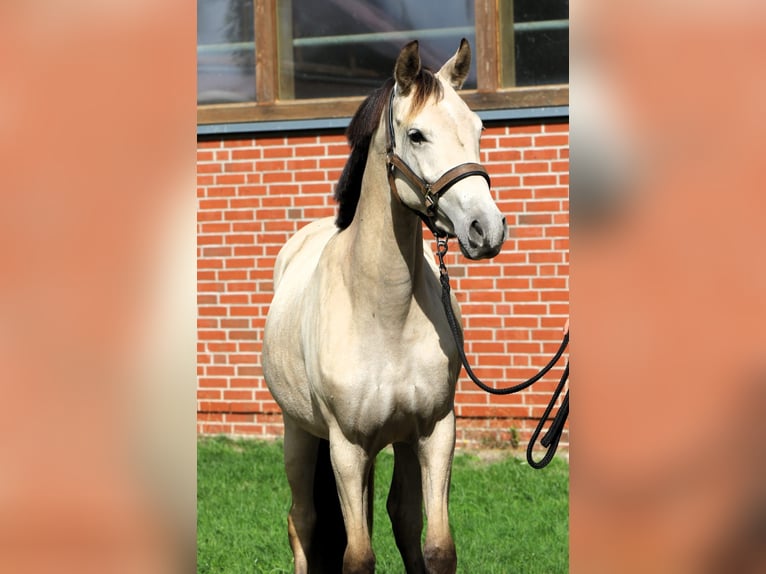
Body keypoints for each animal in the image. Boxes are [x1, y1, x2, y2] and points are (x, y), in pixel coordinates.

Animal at [262, 39, 507, 574]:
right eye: (416, 134)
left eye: (478, 128)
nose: (486, 228)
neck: (382, 313)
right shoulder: (347, 446)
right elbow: (356, 557)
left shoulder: (435, 431)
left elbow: (435, 546)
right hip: (300, 435)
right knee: (302, 521)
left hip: (396, 442)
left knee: (399, 516)